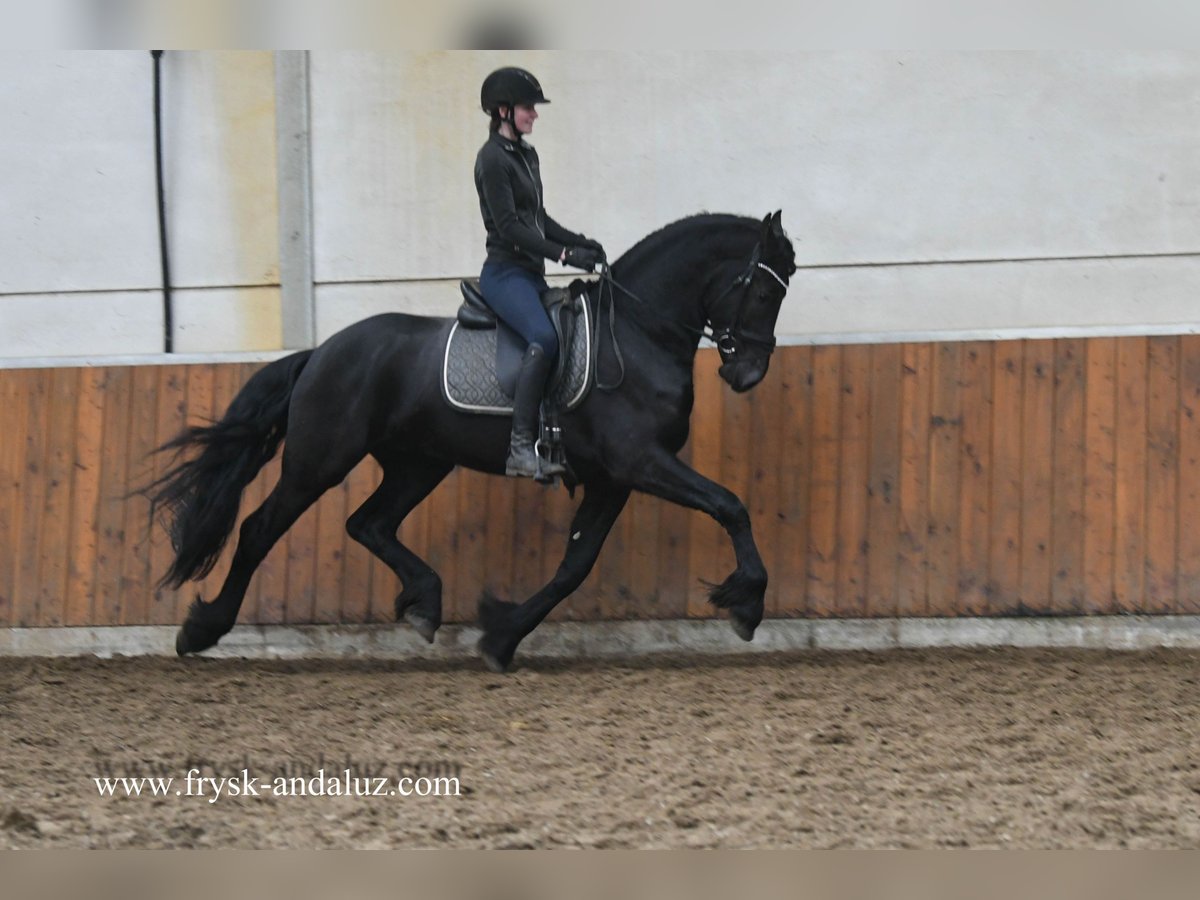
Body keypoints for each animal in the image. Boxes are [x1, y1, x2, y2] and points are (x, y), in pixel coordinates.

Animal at [154, 213, 801, 672]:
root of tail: (321, 352)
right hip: (320, 461)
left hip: (419, 464)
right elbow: (730, 506)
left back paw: (426, 601)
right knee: (260, 529)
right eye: (765, 294)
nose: (747, 375)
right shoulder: (640, 462)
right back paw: (203, 629)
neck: (637, 333)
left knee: (369, 523)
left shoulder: (612, 479)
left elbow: (575, 565)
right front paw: (748, 603)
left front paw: (501, 635)